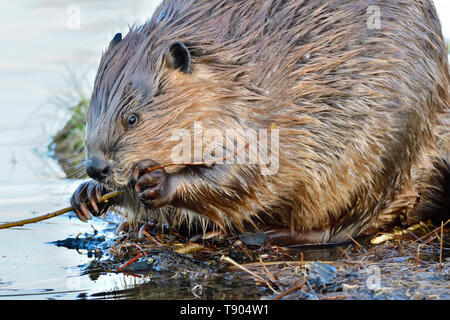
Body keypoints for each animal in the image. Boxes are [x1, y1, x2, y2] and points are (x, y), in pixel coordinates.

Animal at [68, 0, 448, 245]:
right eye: (91, 113)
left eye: (132, 118)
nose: (95, 167)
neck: (233, 71)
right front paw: (87, 195)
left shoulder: (262, 116)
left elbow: (247, 174)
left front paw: (157, 182)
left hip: (388, 149)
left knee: (349, 223)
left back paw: (267, 235)